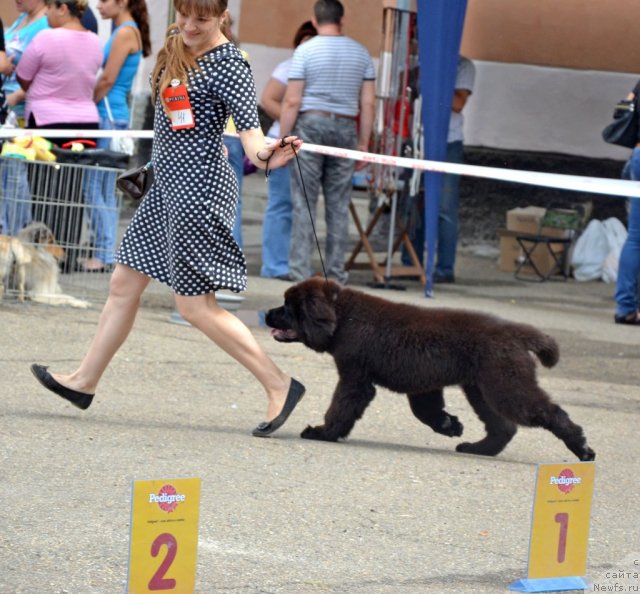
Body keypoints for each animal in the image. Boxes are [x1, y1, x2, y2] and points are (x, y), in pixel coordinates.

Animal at [264, 276, 596, 460]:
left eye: (288, 308)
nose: (267, 314)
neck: (345, 317)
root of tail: (516, 333)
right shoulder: (423, 385)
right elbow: (426, 411)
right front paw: (450, 425)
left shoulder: (355, 378)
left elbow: (341, 408)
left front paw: (323, 432)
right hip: (482, 388)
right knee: (503, 427)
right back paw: (477, 449)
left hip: (506, 386)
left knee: (549, 413)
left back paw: (582, 448)